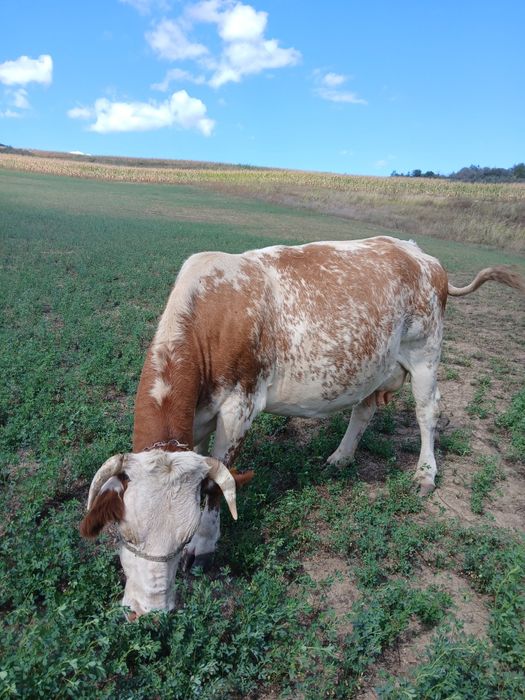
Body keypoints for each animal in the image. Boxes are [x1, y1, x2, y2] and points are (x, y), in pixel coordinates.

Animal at [80, 236, 524, 618]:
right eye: (122, 535)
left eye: (183, 537)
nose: (146, 611)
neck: (213, 315)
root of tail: (417, 253)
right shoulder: (198, 417)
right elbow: (206, 473)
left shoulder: (240, 407)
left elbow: (219, 484)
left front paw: (205, 549)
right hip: (374, 365)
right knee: (364, 410)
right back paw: (341, 457)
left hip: (426, 352)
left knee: (427, 413)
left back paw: (425, 473)